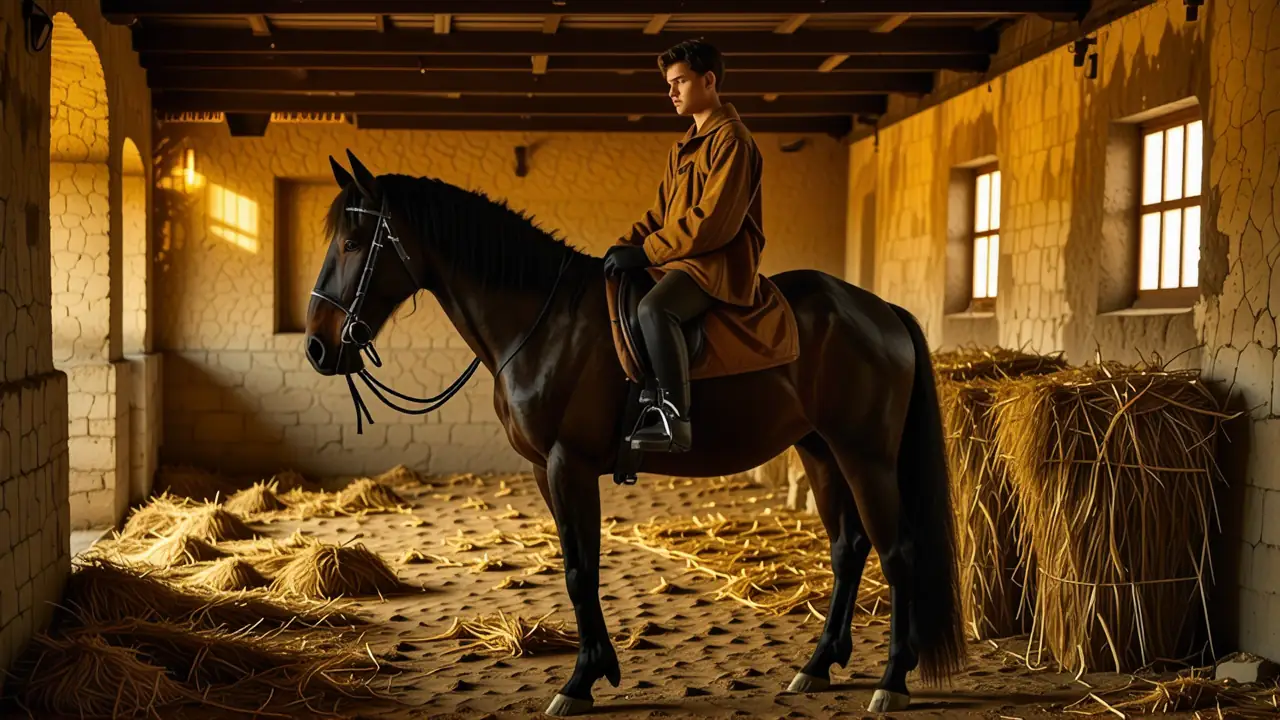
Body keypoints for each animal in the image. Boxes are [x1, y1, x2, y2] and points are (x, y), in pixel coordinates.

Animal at [304, 150, 965, 716]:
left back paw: (892, 680)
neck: (543, 322)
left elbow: (580, 571)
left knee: (898, 551)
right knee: (848, 548)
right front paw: (596, 670)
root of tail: (880, 310)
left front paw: (580, 681)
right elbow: (579, 566)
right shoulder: (545, 470)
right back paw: (819, 664)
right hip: (821, 451)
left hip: (866, 455)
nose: (316, 346)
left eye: (354, 242)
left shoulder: (567, 465)